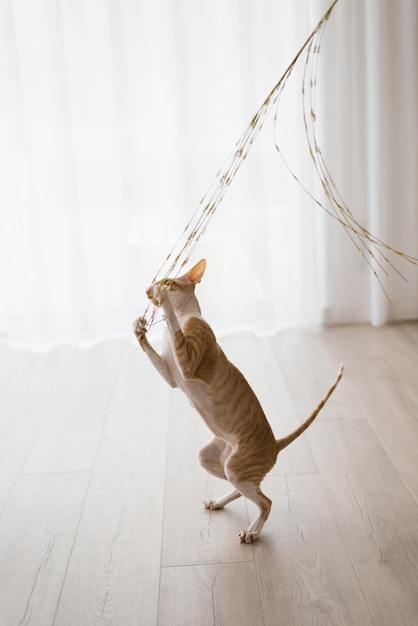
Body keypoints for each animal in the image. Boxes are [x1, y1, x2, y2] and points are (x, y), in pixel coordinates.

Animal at [134, 258, 342, 540]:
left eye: (166, 281)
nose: (148, 289)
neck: (183, 315)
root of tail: (275, 444)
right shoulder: (172, 378)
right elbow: (156, 356)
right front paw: (138, 328)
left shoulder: (187, 363)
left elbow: (176, 328)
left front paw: (164, 300)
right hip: (214, 459)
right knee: (248, 490)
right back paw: (220, 502)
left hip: (235, 466)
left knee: (266, 501)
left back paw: (252, 532)